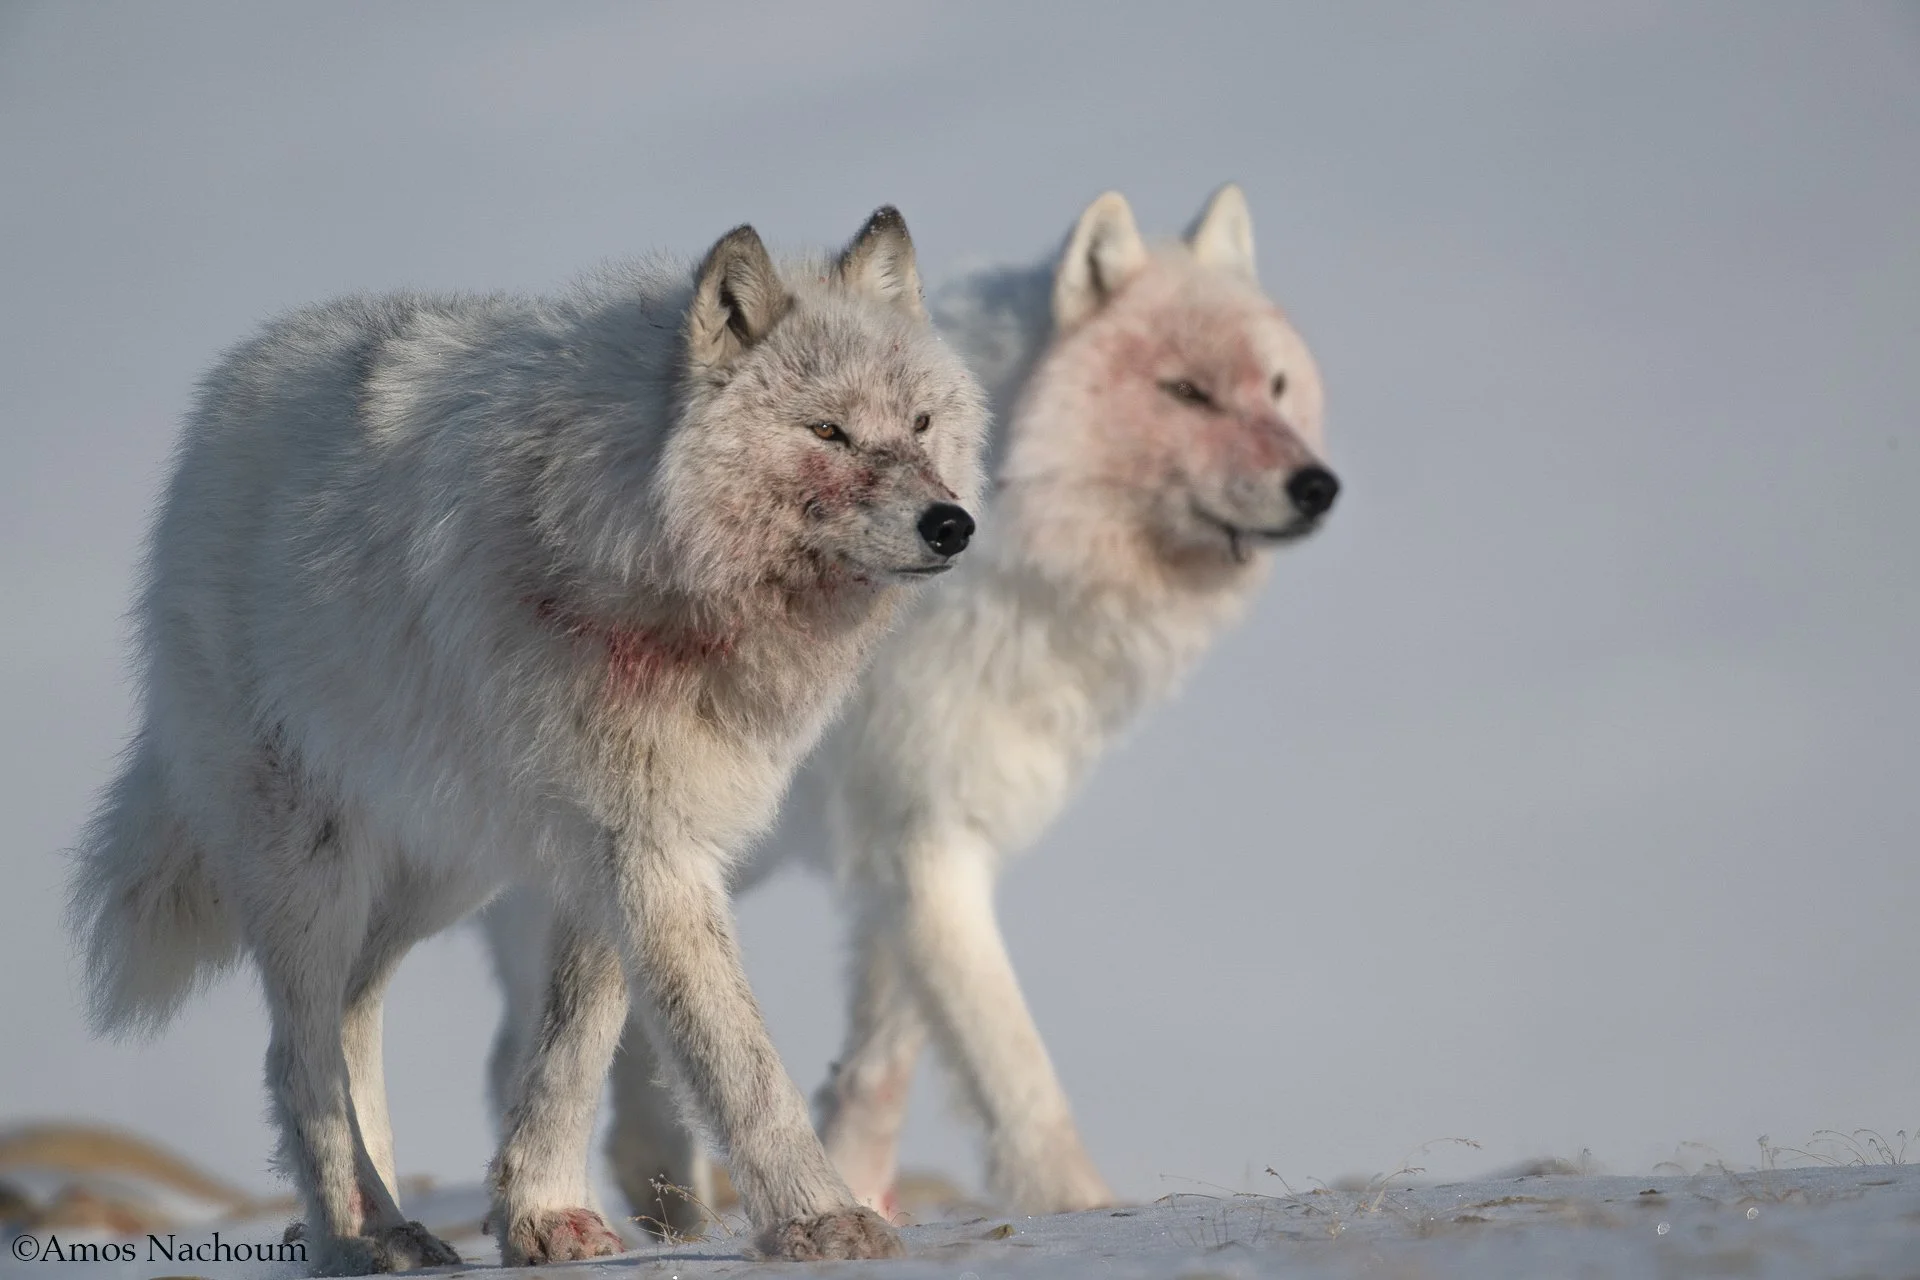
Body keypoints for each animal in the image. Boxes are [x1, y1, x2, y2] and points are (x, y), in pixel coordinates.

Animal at [67, 206, 988, 1272]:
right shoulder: (650, 845)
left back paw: (382, 1220)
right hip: (311, 863)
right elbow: (736, 1058)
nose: (953, 524)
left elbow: (572, 1046)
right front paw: (820, 1218)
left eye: (919, 425)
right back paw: (355, 1236)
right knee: (297, 1056)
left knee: (347, 1020)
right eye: (828, 431)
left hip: (438, 875)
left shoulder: (614, 839)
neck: (643, 562)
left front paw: (542, 1211)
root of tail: (217, 414)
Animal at [484, 185, 1339, 1232]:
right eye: (1185, 393)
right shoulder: (922, 843)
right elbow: (1011, 1062)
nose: (1318, 486)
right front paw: (1076, 1203)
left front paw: (858, 1185)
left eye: (1276, 387)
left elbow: (881, 1061)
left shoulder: (916, 837)